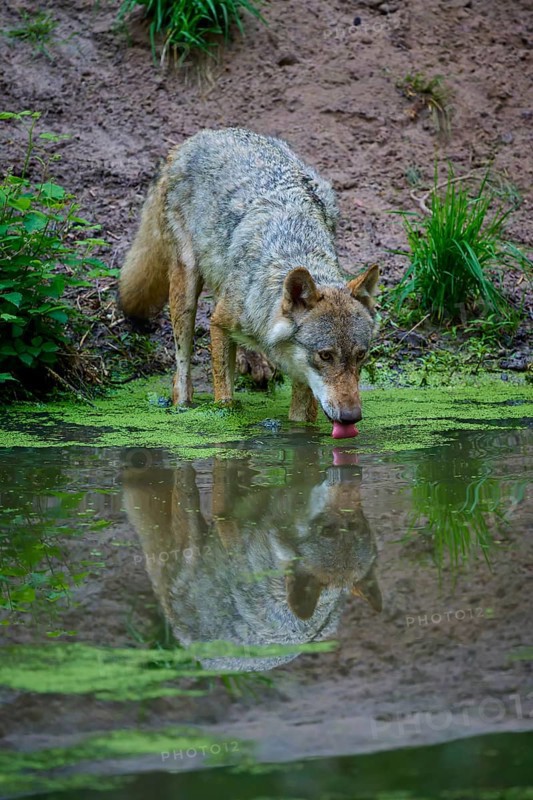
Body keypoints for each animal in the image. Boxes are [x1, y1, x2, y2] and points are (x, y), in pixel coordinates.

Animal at [119, 128, 379, 437]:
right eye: (325, 356)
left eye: (360, 355)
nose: (352, 417)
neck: (293, 251)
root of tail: (202, 136)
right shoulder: (218, 325)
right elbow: (224, 394)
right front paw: (226, 417)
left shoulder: (301, 376)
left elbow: (300, 420)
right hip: (186, 290)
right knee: (181, 369)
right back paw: (183, 405)